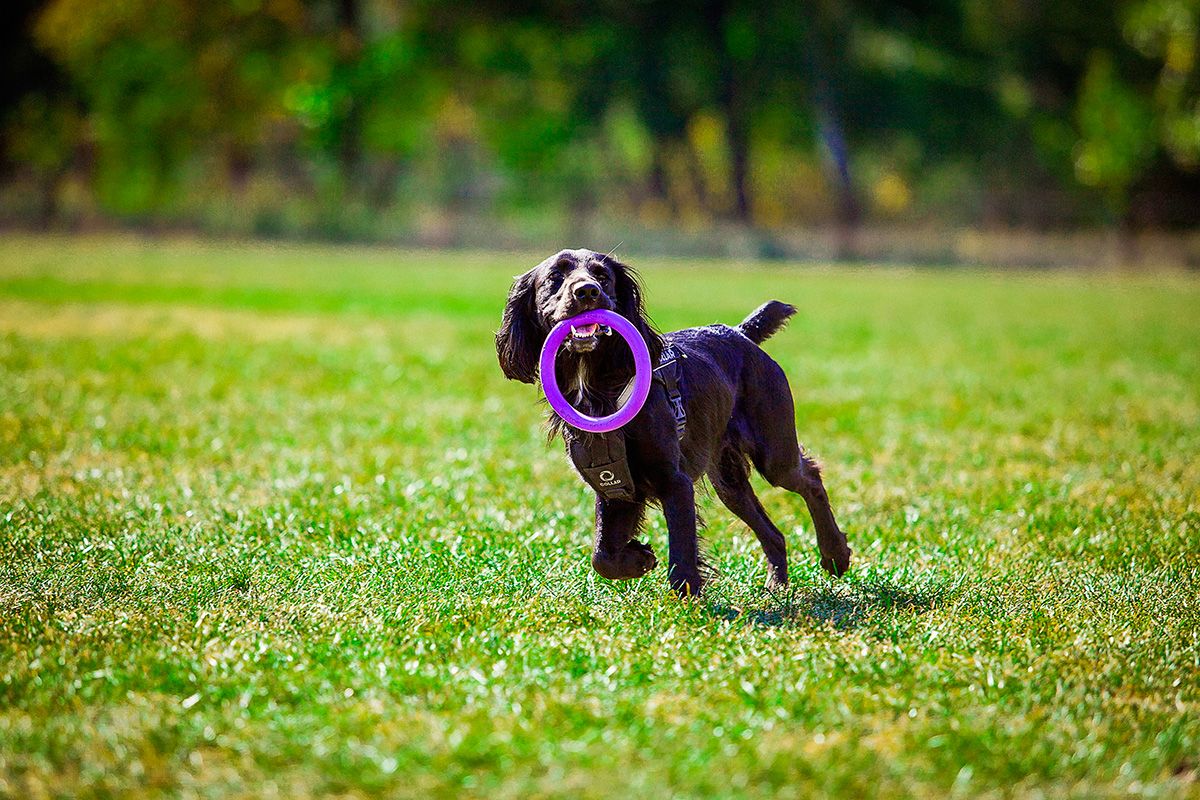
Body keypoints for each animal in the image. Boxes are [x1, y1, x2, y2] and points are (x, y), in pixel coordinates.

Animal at [496, 248, 854, 594]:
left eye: (603, 276)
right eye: (555, 277)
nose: (587, 291)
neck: (598, 388)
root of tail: (741, 334)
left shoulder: (675, 480)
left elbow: (681, 554)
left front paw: (689, 602)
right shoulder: (615, 487)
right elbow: (602, 556)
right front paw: (639, 559)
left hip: (774, 452)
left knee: (810, 479)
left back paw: (835, 555)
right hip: (728, 482)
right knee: (774, 532)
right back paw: (778, 583)